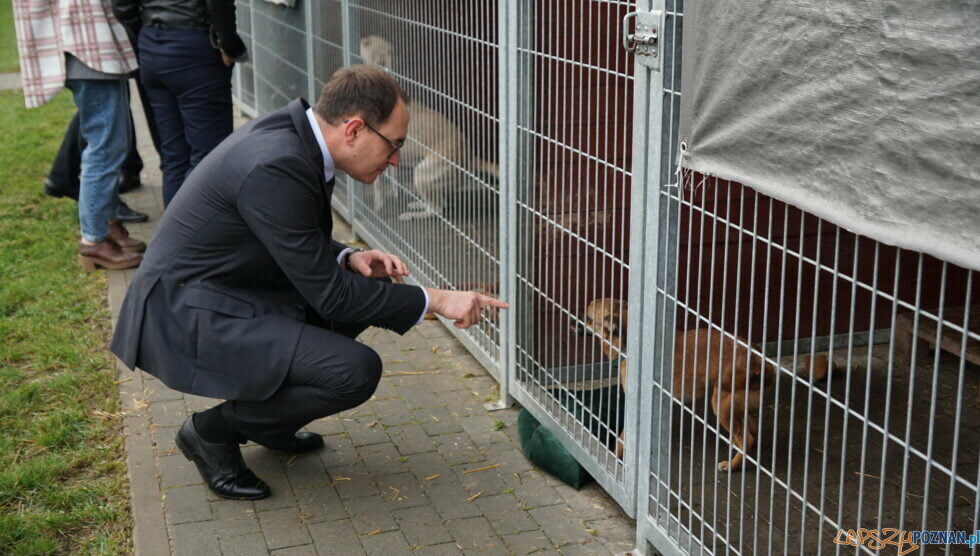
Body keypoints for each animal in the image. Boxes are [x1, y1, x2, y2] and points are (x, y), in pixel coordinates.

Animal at [580, 298, 832, 472]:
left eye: (588, 318)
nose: (575, 321)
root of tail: (759, 360)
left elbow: (623, 438)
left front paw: (615, 456)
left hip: (720, 403)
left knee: (746, 438)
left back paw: (732, 465)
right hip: (740, 403)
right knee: (750, 430)